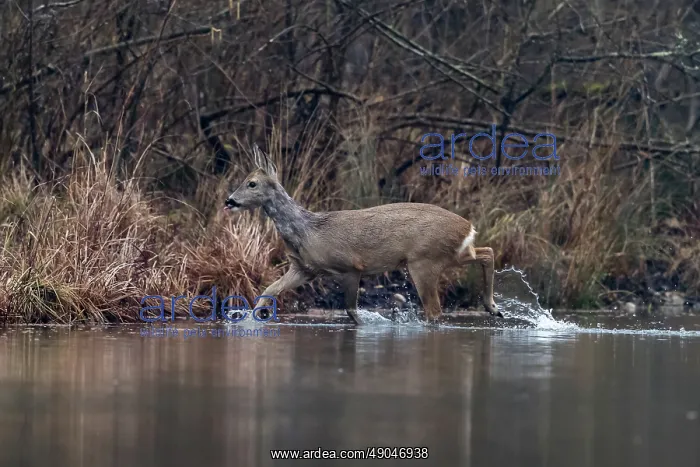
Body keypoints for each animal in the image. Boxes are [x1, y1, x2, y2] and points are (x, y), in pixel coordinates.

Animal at [223, 144, 501, 325]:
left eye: (251, 183)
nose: (229, 200)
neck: (308, 231)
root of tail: (467, 227)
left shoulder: (350, 266)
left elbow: (351, 311)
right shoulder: (304, 268)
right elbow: (269, 290)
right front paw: (253, 316)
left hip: (424, 261)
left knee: (435, 311)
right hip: (449, 254)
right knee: (486, 251)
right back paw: (493, 308)